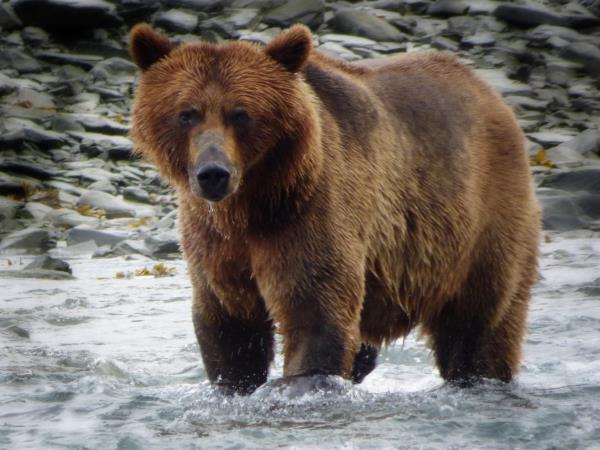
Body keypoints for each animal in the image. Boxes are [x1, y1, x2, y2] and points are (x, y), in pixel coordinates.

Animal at [129, 23, 540, 394]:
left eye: (241, 113)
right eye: (187, 113)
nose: (213, 173)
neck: (252, 205)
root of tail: (489, 93)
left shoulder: (309, 213)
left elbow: (314, 312)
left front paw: (297, 385)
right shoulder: (215, 242)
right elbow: (230, 325)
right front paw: (234, 384)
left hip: (481, 220)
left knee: (480, 323)